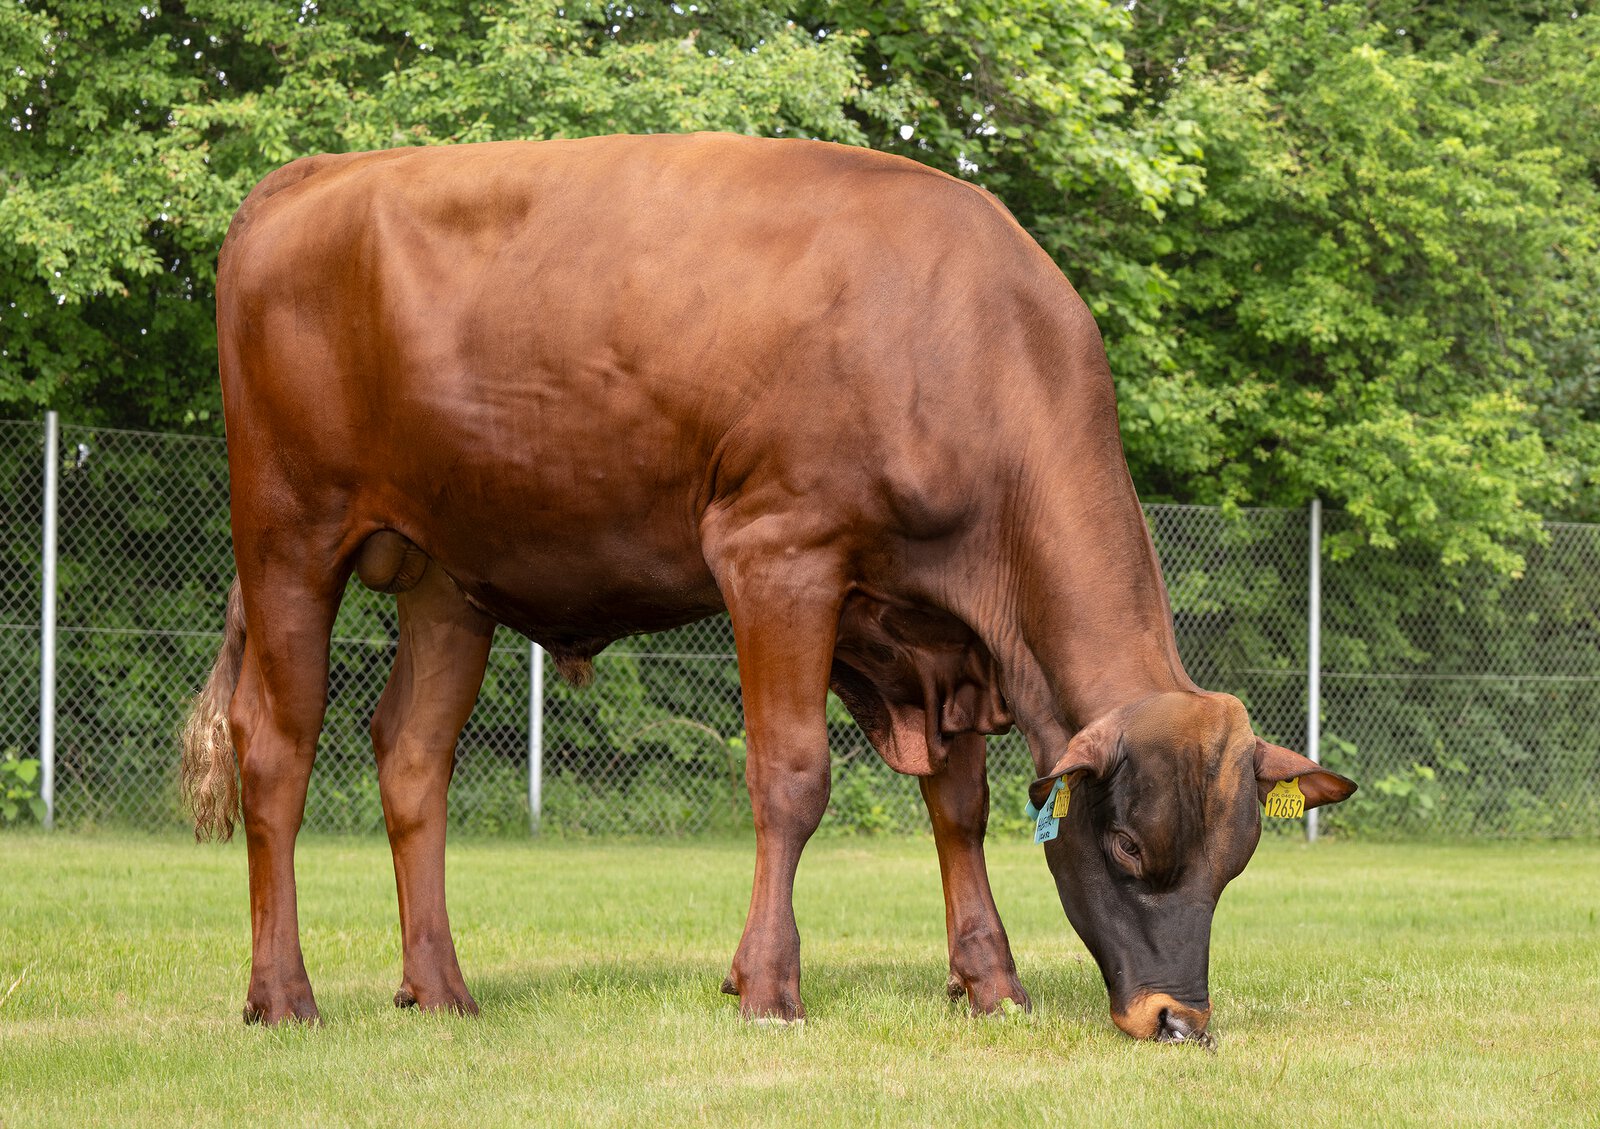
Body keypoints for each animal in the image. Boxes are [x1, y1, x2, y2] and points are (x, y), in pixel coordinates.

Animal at [182, 132, 1355, 1041]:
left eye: (1233, 865)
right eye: (1122, 844)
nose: (1176, 1018)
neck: (965, 343)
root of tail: (314, 175)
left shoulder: (946, 637)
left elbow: (960, 808)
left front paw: (990, 982)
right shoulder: (778, 554)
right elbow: (792, 778)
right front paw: (768, 985)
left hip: (444, 575)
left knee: (414, 757)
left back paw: (441, 990)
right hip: (290, 535)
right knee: (276, 749)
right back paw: (283, 997)